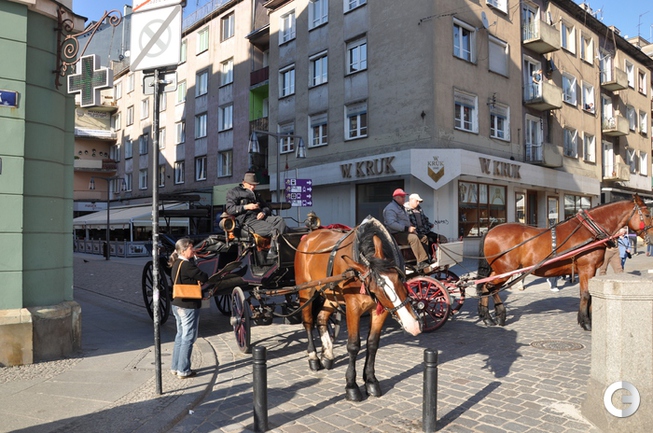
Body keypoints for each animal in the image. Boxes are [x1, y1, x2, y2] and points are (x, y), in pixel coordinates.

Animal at [294, 216, 421, 401]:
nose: (413, 324)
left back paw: (328, 354)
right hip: (306, 290)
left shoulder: (380, 310)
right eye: (378, 288)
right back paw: (313, 357)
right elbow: (353, 346)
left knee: (321, 318)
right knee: (308, 322)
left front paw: (371, 381)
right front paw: (351, 386)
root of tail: (310, 234)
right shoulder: (352, 308)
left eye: (399, 277)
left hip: (331, 295)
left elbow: (373, 344)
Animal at [476, 194, 652, 331]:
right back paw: (497, 315)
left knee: (486, 286)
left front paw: (585, 319)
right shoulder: (586, 268)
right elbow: (586, 294)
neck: (589, 231)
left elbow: (587, 294)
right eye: (648, 214)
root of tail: (490, 231)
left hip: (498, 270)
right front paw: (586, 322)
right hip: (505, 270)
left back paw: (489, 318)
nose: (651, 236)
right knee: (491, 287)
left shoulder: (590, 270)